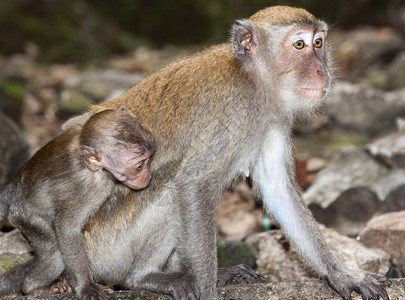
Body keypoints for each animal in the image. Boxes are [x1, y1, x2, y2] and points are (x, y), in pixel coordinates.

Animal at [0, 109, 155, 298]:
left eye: (150, 159)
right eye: (140, 166)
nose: (148, 176)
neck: (100, 171)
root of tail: (14, 188)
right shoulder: (87, 189)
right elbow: (68, 228)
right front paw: (86, 286)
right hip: (26, 216)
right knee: (54, 254)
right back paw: (33, 287)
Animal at [83, 5, 388, 300]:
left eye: (318, 43)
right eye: (299, 44)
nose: (321, 71)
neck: (252, 78)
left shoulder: (272, 120)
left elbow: (278, 190)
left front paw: (342, 274)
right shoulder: (231, 110)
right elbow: (194, 185)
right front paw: (206, 291)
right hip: (108, 249)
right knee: (168, 188)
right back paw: (145, 277)